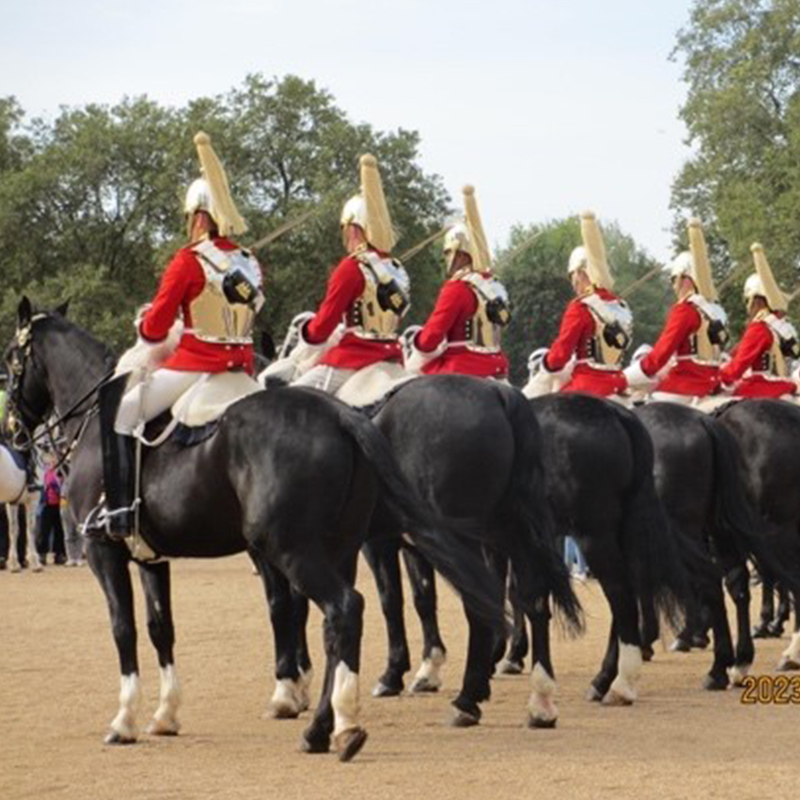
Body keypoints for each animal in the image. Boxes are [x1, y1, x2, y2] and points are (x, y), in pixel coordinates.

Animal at [6, 296, 504, 760]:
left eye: (11, 356)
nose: (13, 432)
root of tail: (340, 414)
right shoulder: (152, 556)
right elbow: (162, 627)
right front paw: (166, 715)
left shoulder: (105, 551)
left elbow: (125, 627)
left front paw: (125, 719)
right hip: (343, 547)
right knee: (351, 619)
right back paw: (345, 719)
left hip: (300, 548)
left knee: (350, 608)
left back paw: (347, 723)